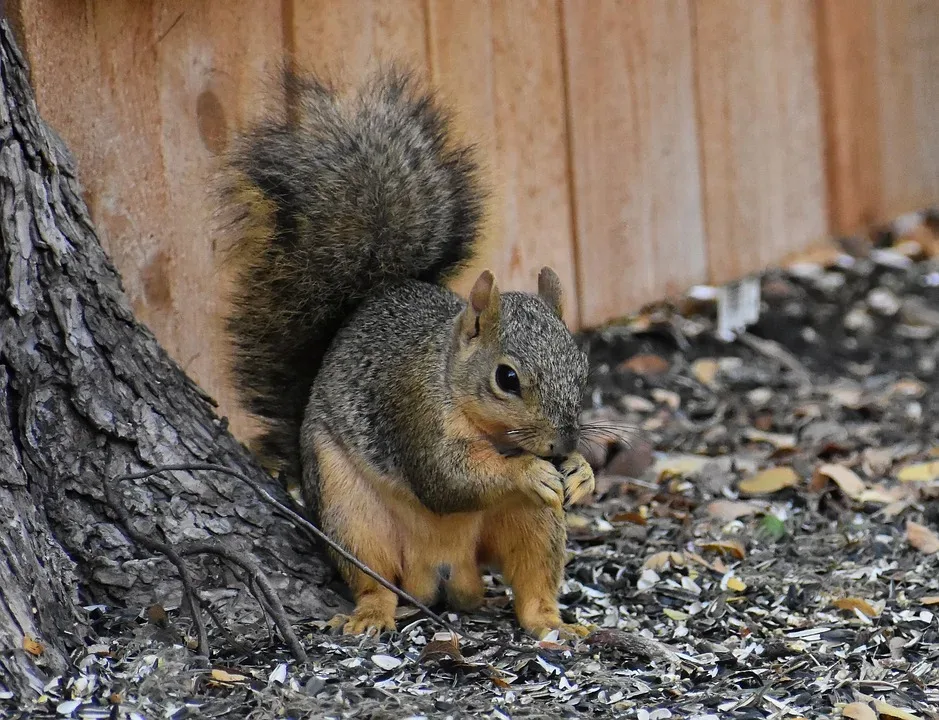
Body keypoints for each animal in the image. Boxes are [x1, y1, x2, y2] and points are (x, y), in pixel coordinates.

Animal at [220, 67, 596, 640]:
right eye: (506, 378)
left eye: (582, 368)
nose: (563, 444)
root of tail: (443, 567)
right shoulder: (413, 411)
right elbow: (446, 478)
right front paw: (529, 471)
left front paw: (582, 471)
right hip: (351, 511)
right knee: (371, 576)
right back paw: (372, 613)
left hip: (528, 521)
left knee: (533, 578)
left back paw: (552, 624)